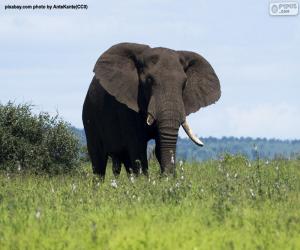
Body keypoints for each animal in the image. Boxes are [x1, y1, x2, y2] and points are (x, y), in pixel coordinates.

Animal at [82, 43, 220, 179]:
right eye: (149, 80)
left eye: (184, 84)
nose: (165, 177)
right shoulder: (126, 107)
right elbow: (138, 148)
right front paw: (145, 182)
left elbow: (160, 145)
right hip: (89, 118)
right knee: (99, 161)